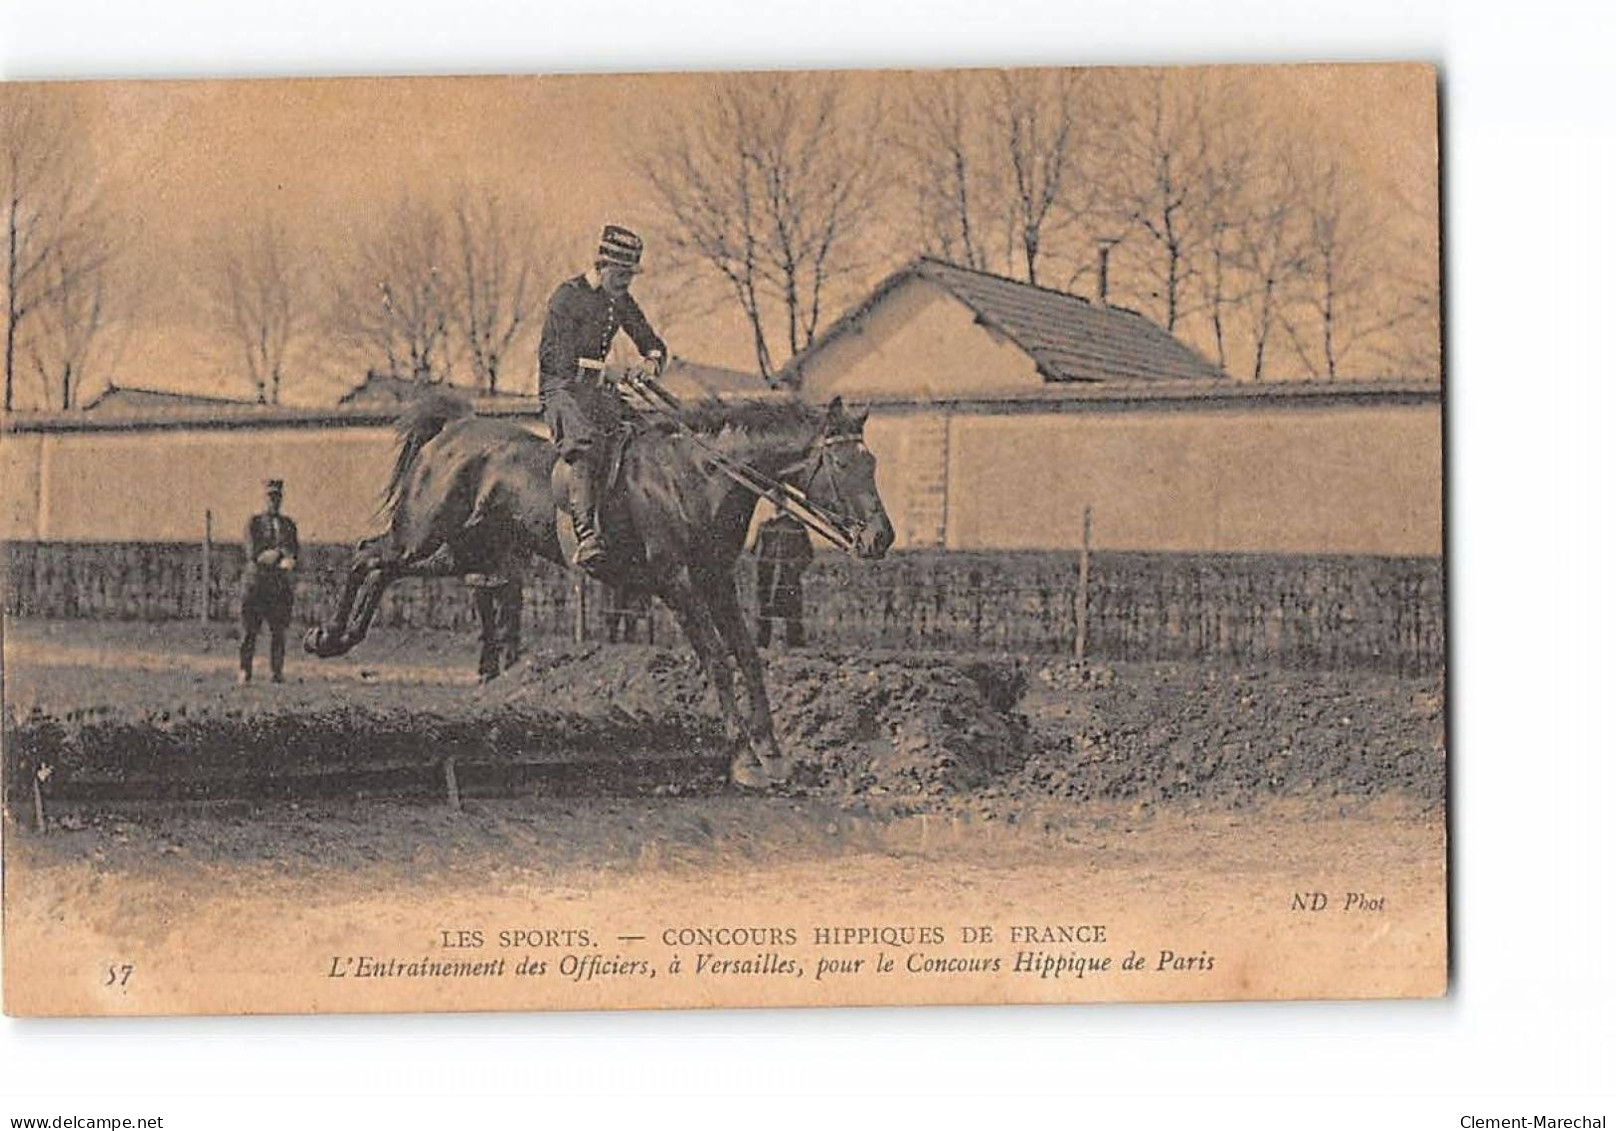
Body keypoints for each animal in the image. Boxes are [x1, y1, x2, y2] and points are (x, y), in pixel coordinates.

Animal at [303, 389, 898, 785]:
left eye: (873, 461)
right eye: (842, 462)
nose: (881, 537)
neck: (698, 477)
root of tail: (453, 430)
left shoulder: (717, 580)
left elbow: (748, 657)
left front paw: (773, 753)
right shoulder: (678, 585)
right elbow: (717, 661)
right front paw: (745, 758)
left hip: (459, 554)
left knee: (382, 569)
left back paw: (344, 637)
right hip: (420, 534)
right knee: (365, 555)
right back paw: (326, 637)